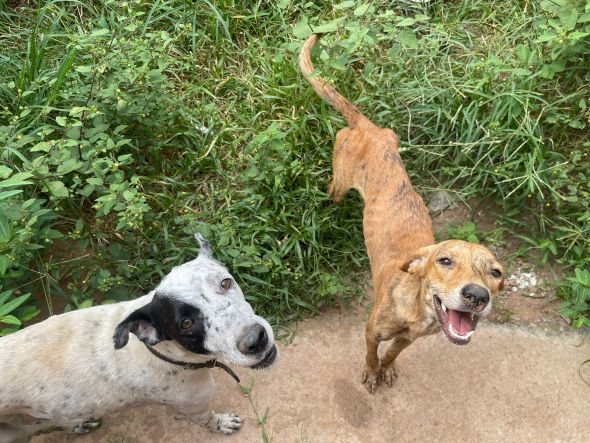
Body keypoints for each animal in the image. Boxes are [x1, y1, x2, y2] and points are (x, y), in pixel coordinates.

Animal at [300, 34, 504, 396]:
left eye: (495, 273)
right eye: (445, 261)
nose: (477, 296)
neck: (418, 310)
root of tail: (367, 127)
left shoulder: (409, 340)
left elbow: (393, 352)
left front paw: (388, 368)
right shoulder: (371, 330)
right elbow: (371, 353)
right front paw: (372, 372)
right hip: (340, 181)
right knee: (332, 189)